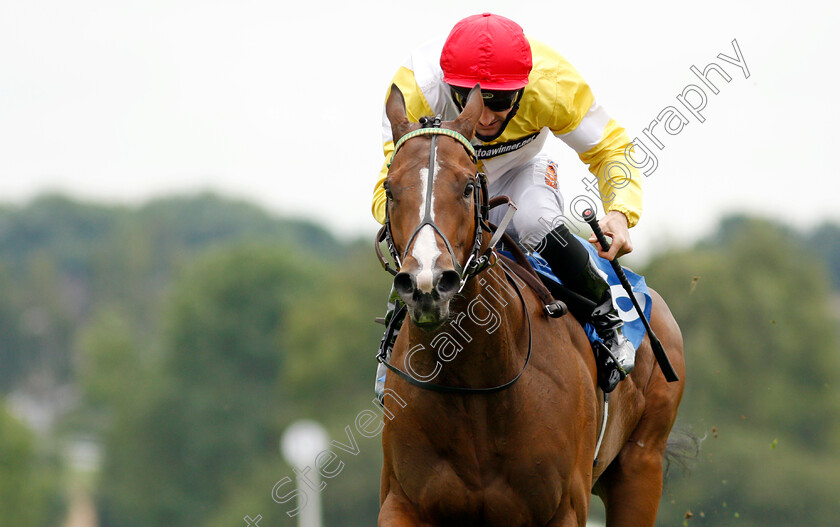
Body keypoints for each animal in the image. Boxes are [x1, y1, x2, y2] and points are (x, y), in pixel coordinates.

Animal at [378, 84, 684, 524]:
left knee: (546, 228)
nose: (427, 283)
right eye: (390, 188)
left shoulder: (564, 509)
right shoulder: (402, 503)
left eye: (467, 186)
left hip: (641, 467)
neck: (476, 385)